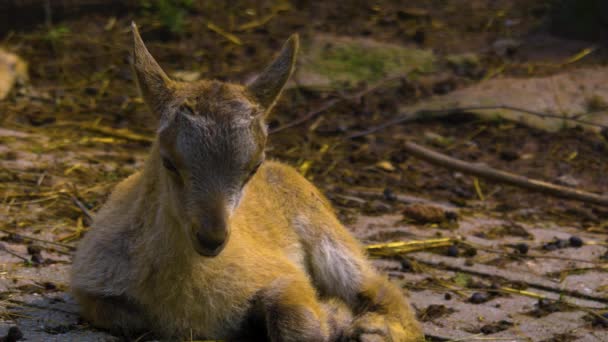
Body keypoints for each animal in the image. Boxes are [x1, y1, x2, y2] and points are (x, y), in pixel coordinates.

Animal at [70, 22, 422, 340]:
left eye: (252, 167)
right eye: (169, 161)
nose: (212, 237)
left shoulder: (284, 274)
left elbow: (299, 323)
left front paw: (335, 318)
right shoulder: (93, 290)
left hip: (330, 238)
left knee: (384, 292)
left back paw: (371, 330)